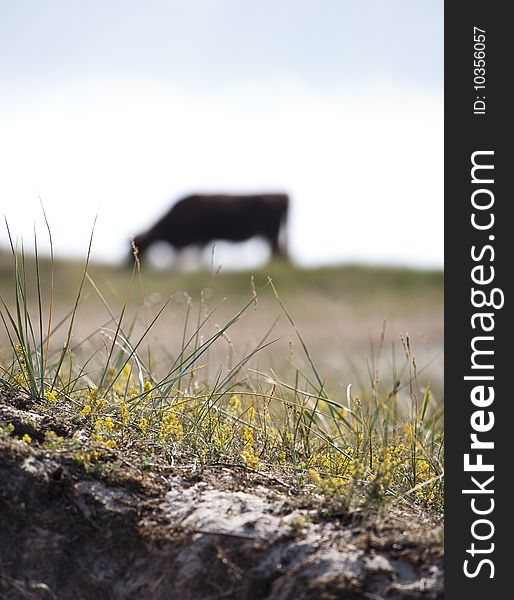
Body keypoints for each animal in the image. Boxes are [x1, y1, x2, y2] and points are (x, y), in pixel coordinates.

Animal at [129, 193, 288, 264]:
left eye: (134, 249)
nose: (126, 266)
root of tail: (282, 195)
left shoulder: (202, 238)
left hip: (271, 232)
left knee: (278, 250)